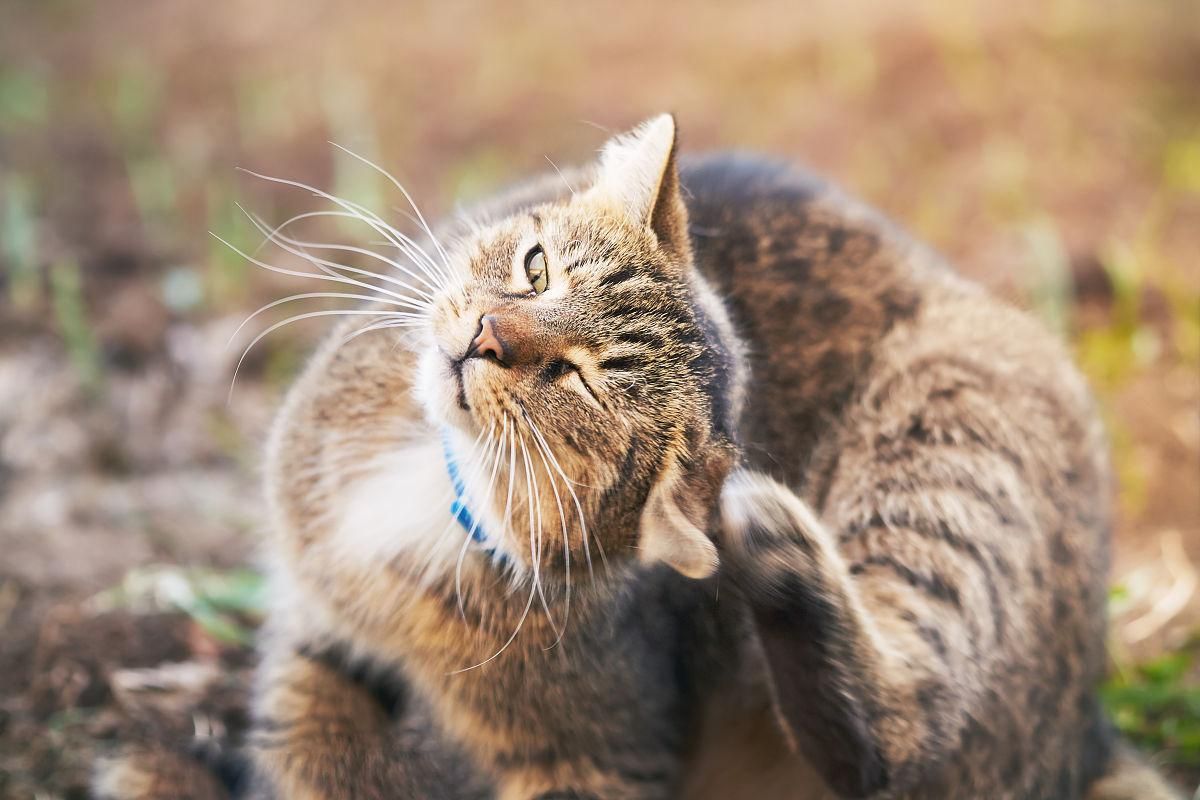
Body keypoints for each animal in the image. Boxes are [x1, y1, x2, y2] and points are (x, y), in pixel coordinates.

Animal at [93, 115, 1180, 796]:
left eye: (578, 381)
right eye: (537, 269)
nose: (483, 336)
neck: (445, 486)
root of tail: (1086, 724)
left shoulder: (599, 751)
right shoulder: (321, 632)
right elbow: (310, 752)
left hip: (955, 425)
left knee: (900, 735)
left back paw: (781, 545)